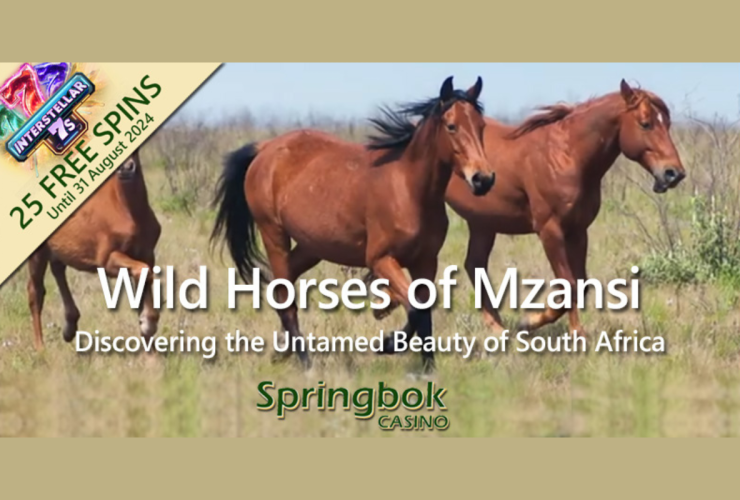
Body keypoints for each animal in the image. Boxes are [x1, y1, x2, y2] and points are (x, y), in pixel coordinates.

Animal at [27, 148, 162, 350]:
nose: (126, 169)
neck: (127, 210)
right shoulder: (107, 260)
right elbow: (143, 273)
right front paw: (146, 324)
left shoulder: (147, 254)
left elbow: (144, 279)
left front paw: (149, 340)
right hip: (37, 253)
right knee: (35, 292)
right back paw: (40, 348)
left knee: (58, 270)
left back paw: (69, 327)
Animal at [211, 76, 495, 371]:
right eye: (452, 126)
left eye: (481, 126)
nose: (483, 179)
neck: (409, 190)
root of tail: (265, 148)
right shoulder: (380, 259)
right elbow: (415, 309)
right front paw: (388, 344)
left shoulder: (426, 262)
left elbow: (424, 312)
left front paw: (428, 369)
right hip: (273, 234)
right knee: (284, 297)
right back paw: (306, 363)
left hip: (311, 247)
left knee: (284, 287)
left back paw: (282, 351)